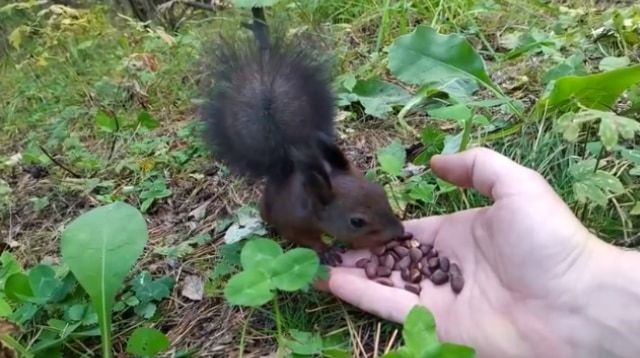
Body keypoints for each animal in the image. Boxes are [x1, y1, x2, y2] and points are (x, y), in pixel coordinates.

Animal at [200, 7, 402, 256]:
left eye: (381, 191)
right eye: (357, 222)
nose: (401, 231)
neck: (311, 202)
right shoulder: (292, 221)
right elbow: (304, 239)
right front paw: (326, 251)